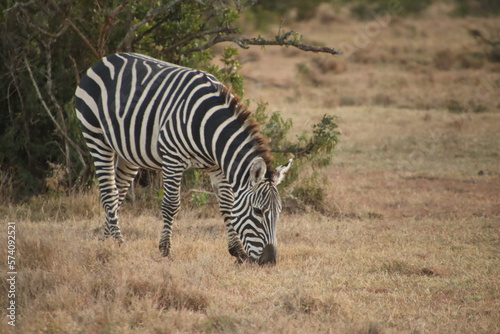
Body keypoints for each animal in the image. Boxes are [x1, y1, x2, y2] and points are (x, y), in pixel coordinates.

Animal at [75, 52, 292, 266]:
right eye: (257, 211)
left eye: (279, 212)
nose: (270, 262)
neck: (207, 129)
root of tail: (105, 59)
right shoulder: (173, 158)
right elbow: (171, 204)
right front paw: (165, 250)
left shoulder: (217, 167)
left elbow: (227, 205)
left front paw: (237, 251)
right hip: (96, 137)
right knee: (108, 192)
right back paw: (119, 241)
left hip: (128, 152)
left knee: (118, 191)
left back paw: (107, 240)